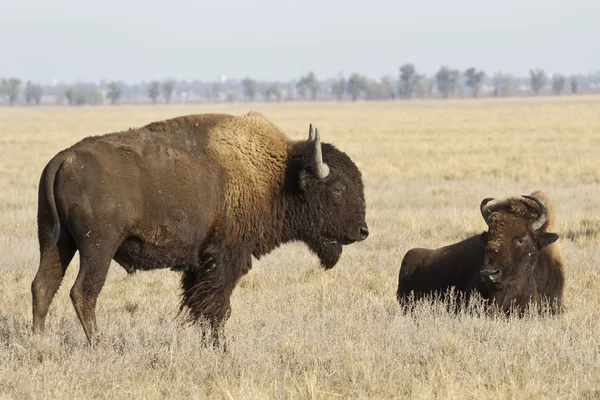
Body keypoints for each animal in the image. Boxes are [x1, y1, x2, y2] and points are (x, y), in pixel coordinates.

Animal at [34, 112, 370, 344]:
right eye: (338, 188)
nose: (362, 231)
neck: (276, 175)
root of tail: (63, 158)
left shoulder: (199, 264)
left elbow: (200, 304)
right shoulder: (226, 257)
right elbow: (217, 306)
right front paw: (220, 348)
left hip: (55, 242)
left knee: (43, 286)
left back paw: (39, 343)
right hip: (98, 248)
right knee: (83, 292)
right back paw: (98, 344)